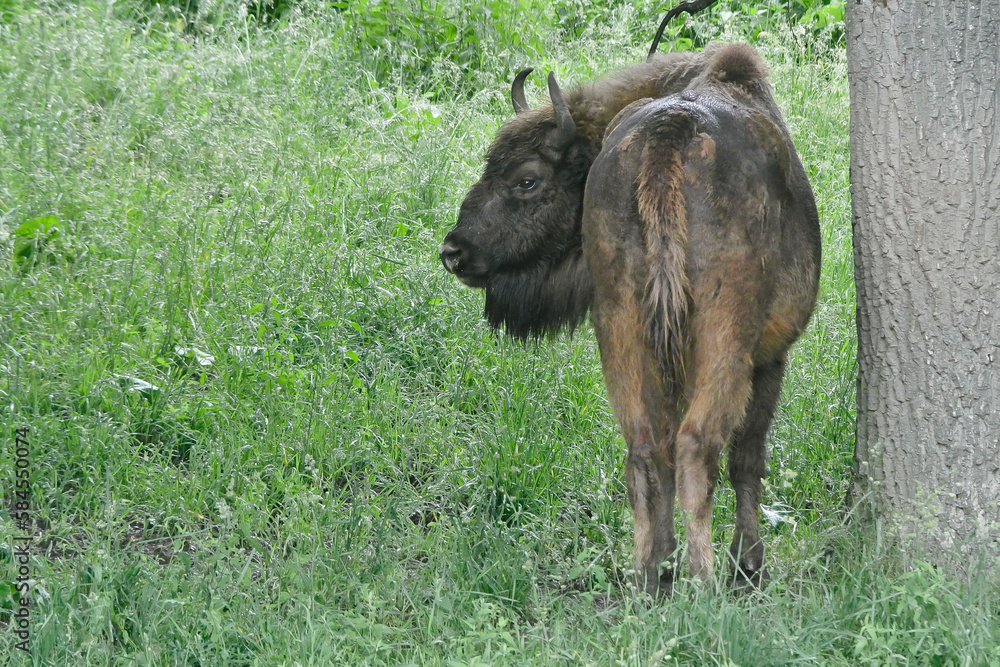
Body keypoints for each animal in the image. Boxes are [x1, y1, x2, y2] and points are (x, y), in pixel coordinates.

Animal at [439, 43, 820, 595]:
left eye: (526, 179)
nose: (453, 252)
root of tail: (668, 133)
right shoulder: (770, 358)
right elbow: (747, 459)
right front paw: (749, 565)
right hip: (723, 341)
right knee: (696, 447)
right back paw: (703, 583)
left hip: (619, 325)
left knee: (644, 448)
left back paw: (650, 576)